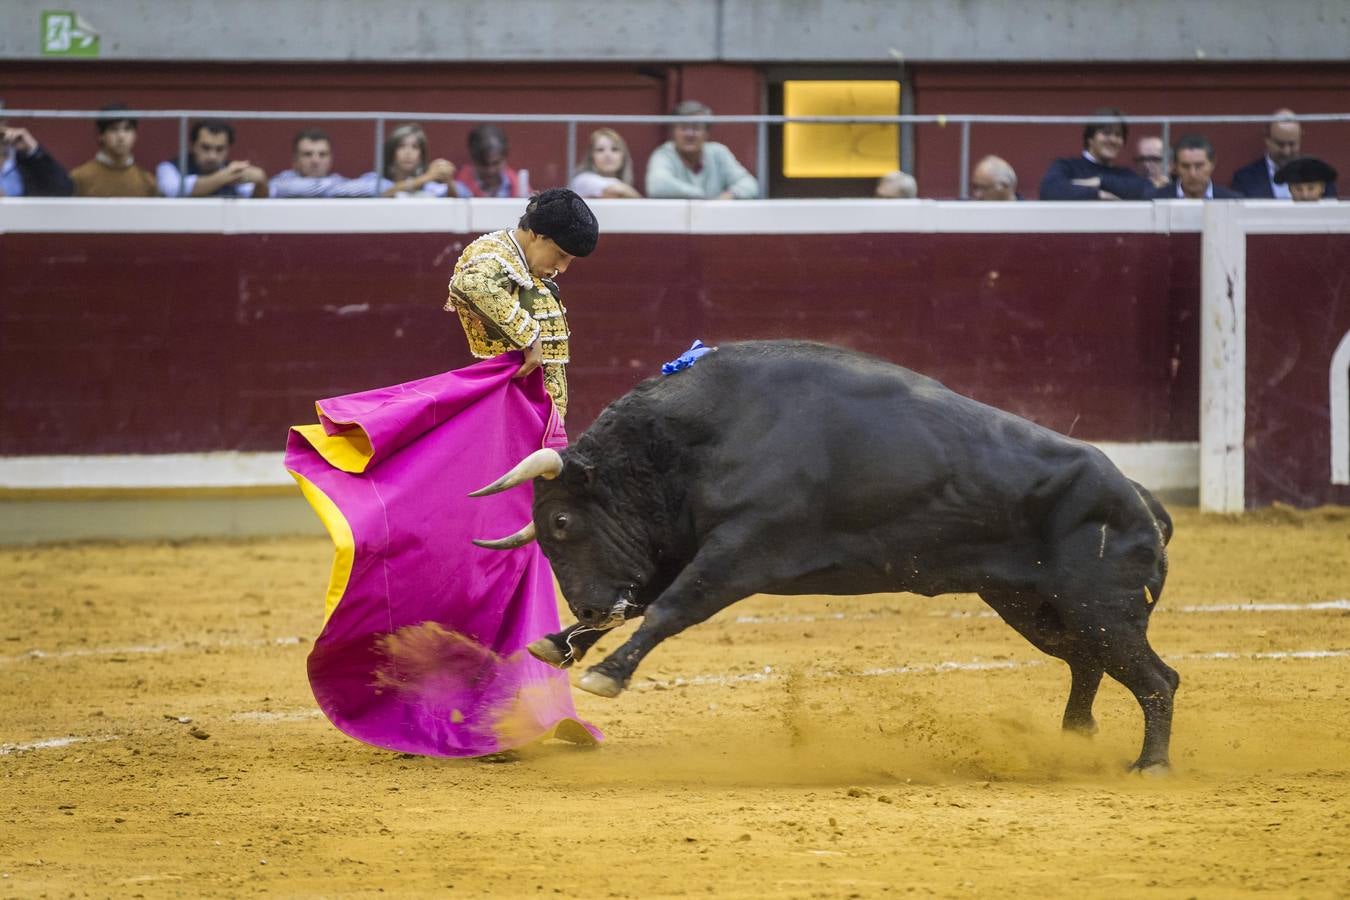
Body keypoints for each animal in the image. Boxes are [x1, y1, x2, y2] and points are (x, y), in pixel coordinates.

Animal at [469, 341, 1177, 771]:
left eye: (562, 522)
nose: (590, 608)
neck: (705, 433)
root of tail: (1139, 498)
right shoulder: (690, 545)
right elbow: (648, 597)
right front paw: (559, 643)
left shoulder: (743, 550)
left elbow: (671, 607)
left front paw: (606, 674)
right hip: (1032, 606)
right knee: (1088, 663)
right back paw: (1075, 739)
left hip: (1100, 606)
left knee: (1155, 678)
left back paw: (1149, 764)